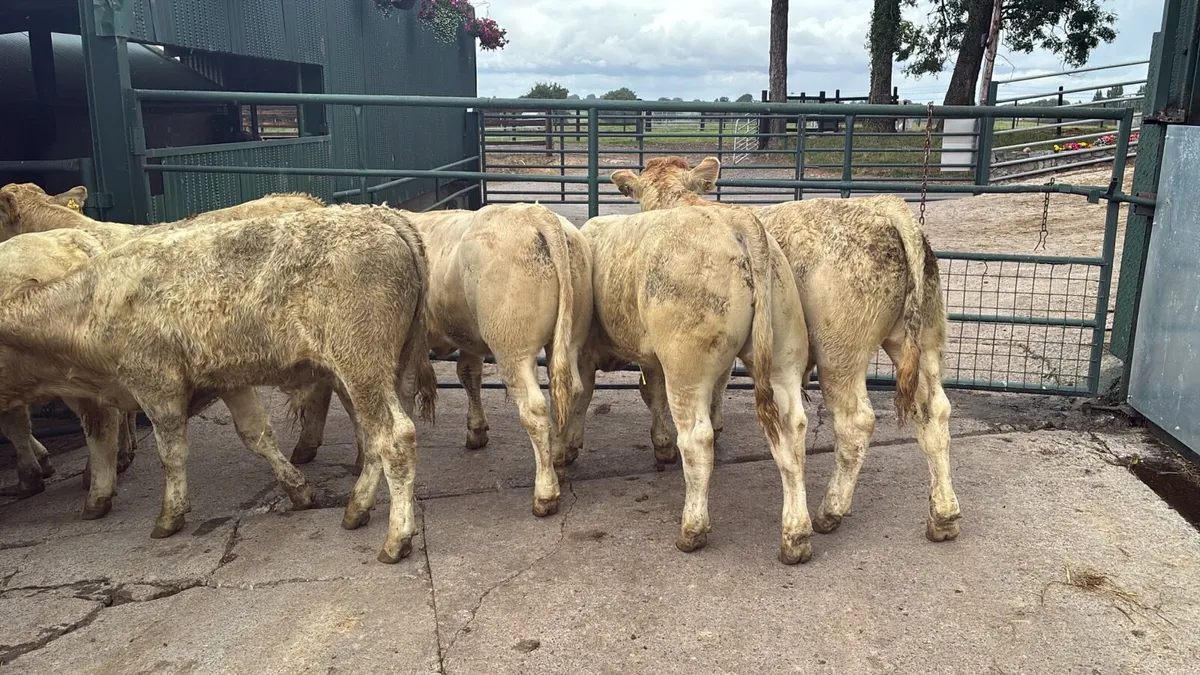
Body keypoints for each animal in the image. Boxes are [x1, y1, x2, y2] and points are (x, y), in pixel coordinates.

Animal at [0, 203, 436, 563]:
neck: (90, 301)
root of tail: (381, 216)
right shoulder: (229, 381)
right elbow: (256, 434)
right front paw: (298, 490)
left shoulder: (156, 386)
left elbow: (170, 453)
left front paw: (169, 515)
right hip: (389, 373)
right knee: (374, 438)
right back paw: (356, 509)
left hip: (362, 368)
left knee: (394, 438)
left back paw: (396, 539)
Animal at [289, 203, 592, 517]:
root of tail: (538, 215)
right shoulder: (466, 338)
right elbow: (468, 375)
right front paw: (476, 430)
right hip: (570, 338)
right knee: (569, 391)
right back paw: (559, 458)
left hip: (513, 349)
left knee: (535, 410)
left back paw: (545, 493)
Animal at [566, 205, 814, 564]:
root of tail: (733, 218)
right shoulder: (652, 356)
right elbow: (651, 393)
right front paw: (662, 445)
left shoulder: (584, 352)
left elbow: (579, 396)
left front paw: (566, 449)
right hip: (784, 353)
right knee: (792, 431)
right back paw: (796, 537)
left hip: (687, 367)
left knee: (697, 440)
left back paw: (692, 530)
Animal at [610, 155, 961, 543]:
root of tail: (884, 208)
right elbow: (717, 385)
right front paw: (716, 424)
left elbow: (654, 391)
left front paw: (664, 445)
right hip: (924, 338)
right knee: (934, 411)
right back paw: (943, 515)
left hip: (840, 352)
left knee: (855, 422)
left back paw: (829, 511)